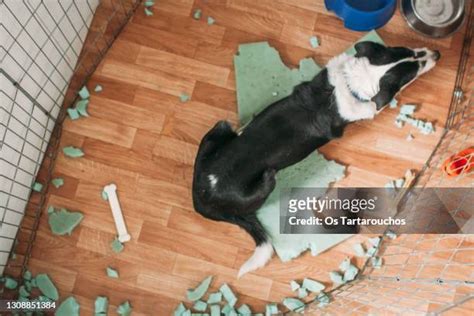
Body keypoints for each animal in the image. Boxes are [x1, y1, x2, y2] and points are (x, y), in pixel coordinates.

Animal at [190, 42, 440, 276]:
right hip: (268, 179)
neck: (350, 85)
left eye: (410, 51)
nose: (437, 54)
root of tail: (202, 199)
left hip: (219, 128)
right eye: (415, 70)